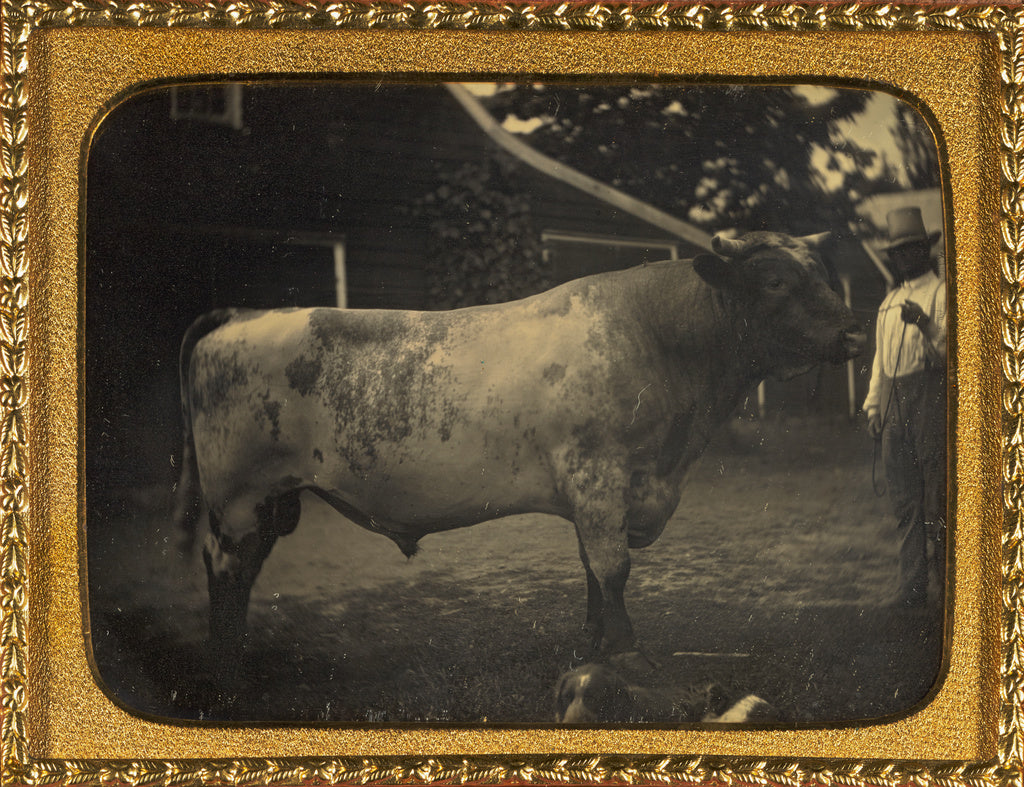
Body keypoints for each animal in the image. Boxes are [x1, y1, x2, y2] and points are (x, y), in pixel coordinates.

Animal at [173, 231, 865, 664]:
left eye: (827, 276)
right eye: (774, 280)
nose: (855, 332)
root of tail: (243, 313)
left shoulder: (604, 494)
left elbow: (591, 569)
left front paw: (594, 645)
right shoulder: (599, 476)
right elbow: (612, 568)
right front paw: (625, 650)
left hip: (270, 501)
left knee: (247, 567)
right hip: (237, 495)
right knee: (225, 567)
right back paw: (226, 662)